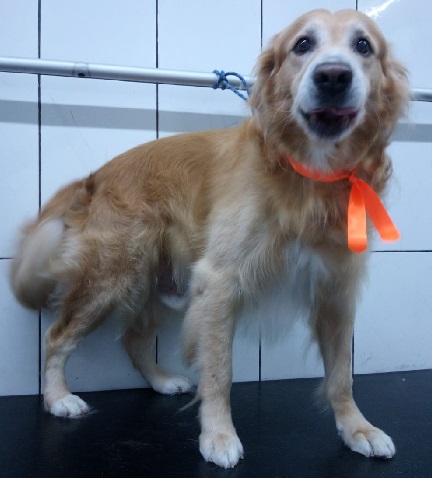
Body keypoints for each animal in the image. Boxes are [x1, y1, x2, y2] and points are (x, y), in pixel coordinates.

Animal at [11, 9, 408, 469]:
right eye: (303, 44)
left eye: (363, 46)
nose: (332, 76)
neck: (307, 176)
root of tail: (92, 179)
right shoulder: (219, 283)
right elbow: (220, 372)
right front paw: (218, 435)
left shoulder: (334, 292)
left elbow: (342, 375)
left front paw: (357, 428)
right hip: (112, 280)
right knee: (56, 337)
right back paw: (58, 397)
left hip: (166, 291)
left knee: (133, 338)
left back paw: (161, 381)